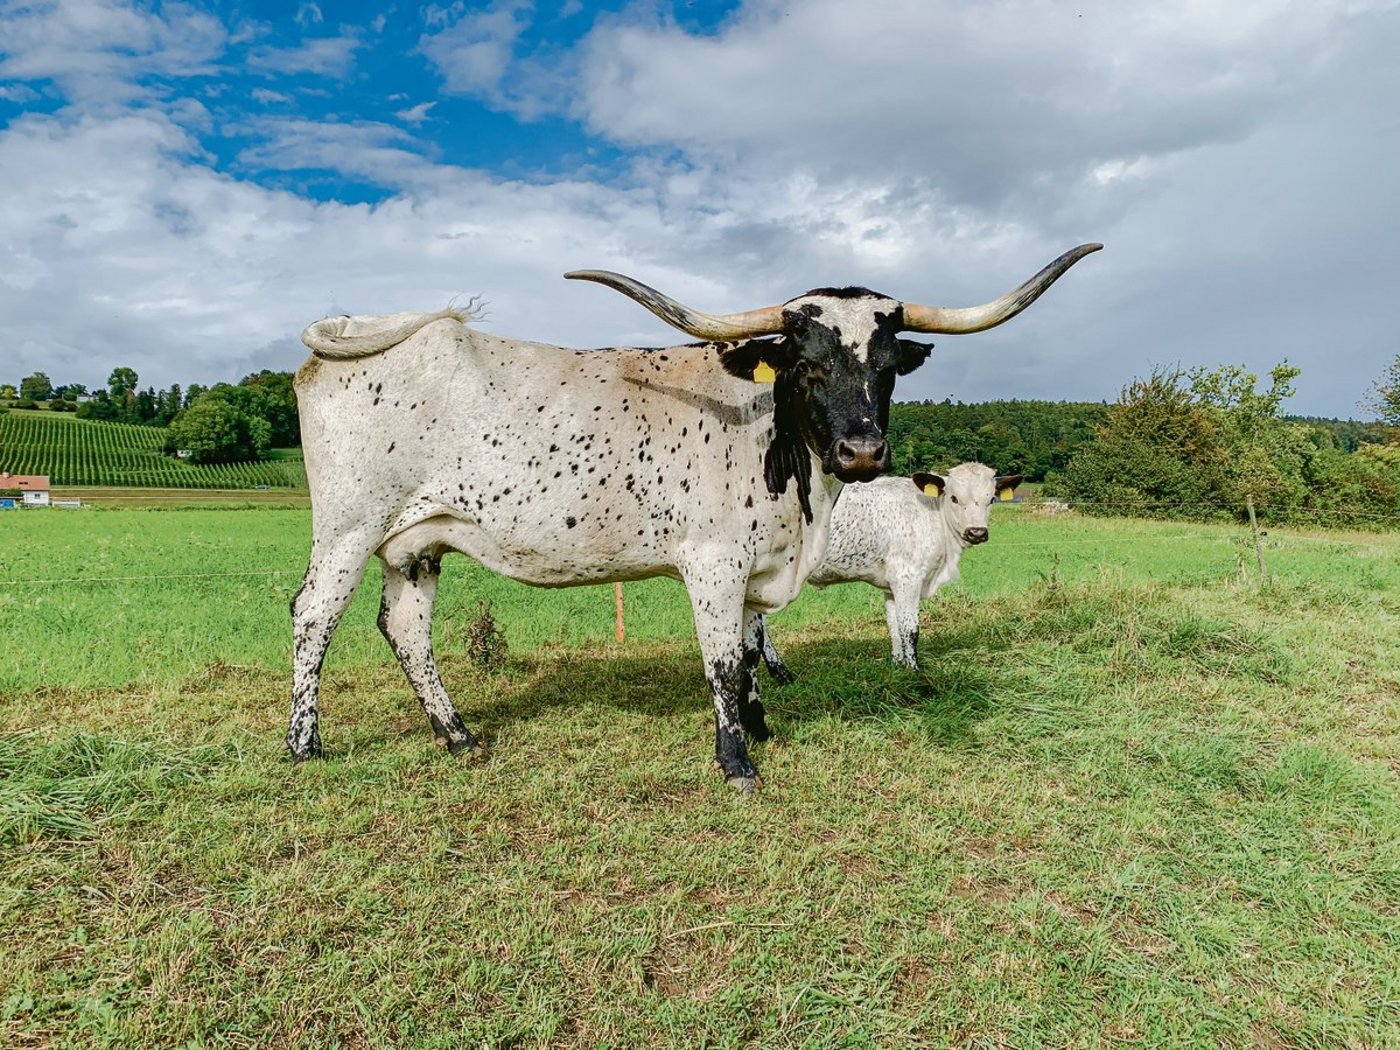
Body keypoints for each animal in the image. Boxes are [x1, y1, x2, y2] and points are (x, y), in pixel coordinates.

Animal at [757, 462, 1019, 677]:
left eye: (991, 499)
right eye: (954, 498)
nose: (977, 532)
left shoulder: (891, 584)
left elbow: (894, 627)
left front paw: (898, 665)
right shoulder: (908, 577)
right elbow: (910, 629)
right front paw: (914, 670)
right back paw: (780, 671)